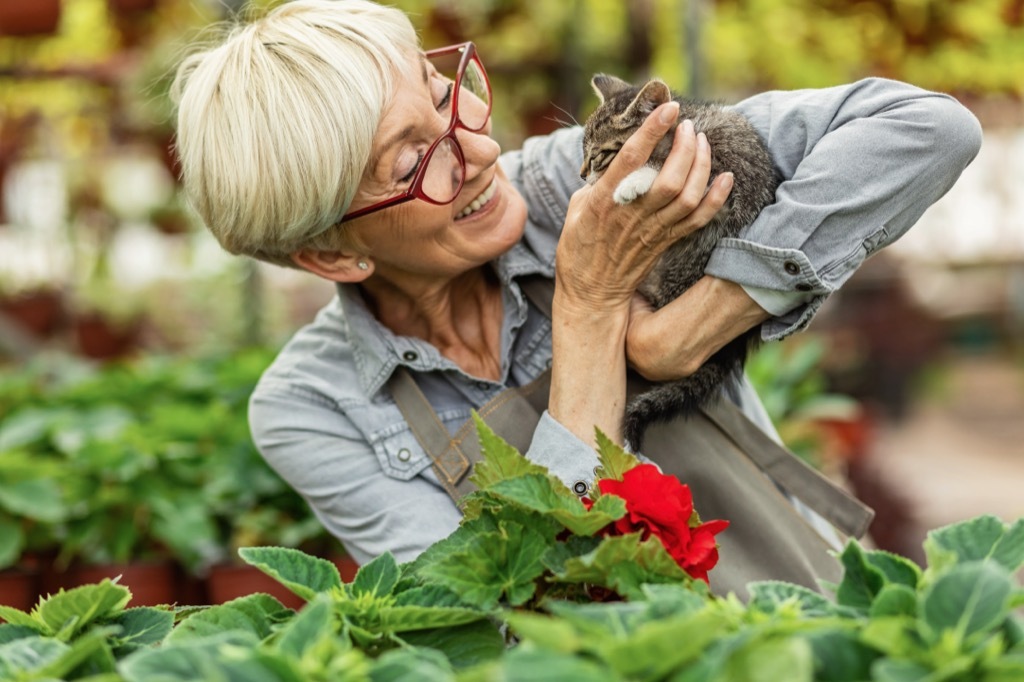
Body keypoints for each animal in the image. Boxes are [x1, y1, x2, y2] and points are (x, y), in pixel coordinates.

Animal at [581, 74, 778, 450]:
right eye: (582, 153)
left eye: (598, 155)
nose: (582, 175)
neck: (687, 129)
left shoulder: (725, 182)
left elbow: (660, 170)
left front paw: (632, 182)